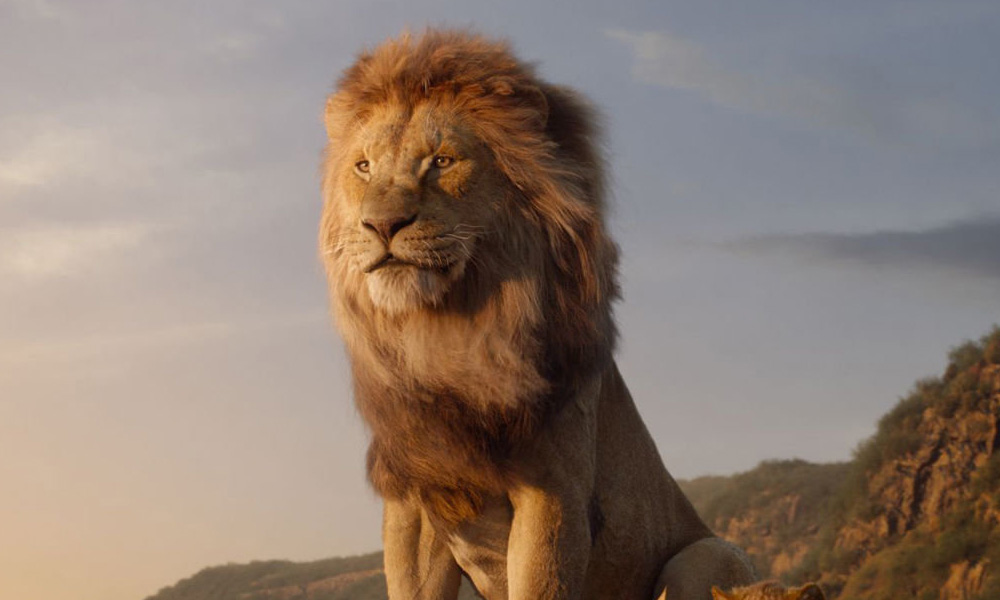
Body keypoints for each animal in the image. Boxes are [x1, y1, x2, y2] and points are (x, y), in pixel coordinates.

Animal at [318, 29, 757, 599]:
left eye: (442, 161)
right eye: (364, 166)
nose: (381, 224)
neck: (446, 337)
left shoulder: (553, 495)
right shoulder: (412, 502)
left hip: (708, 555)